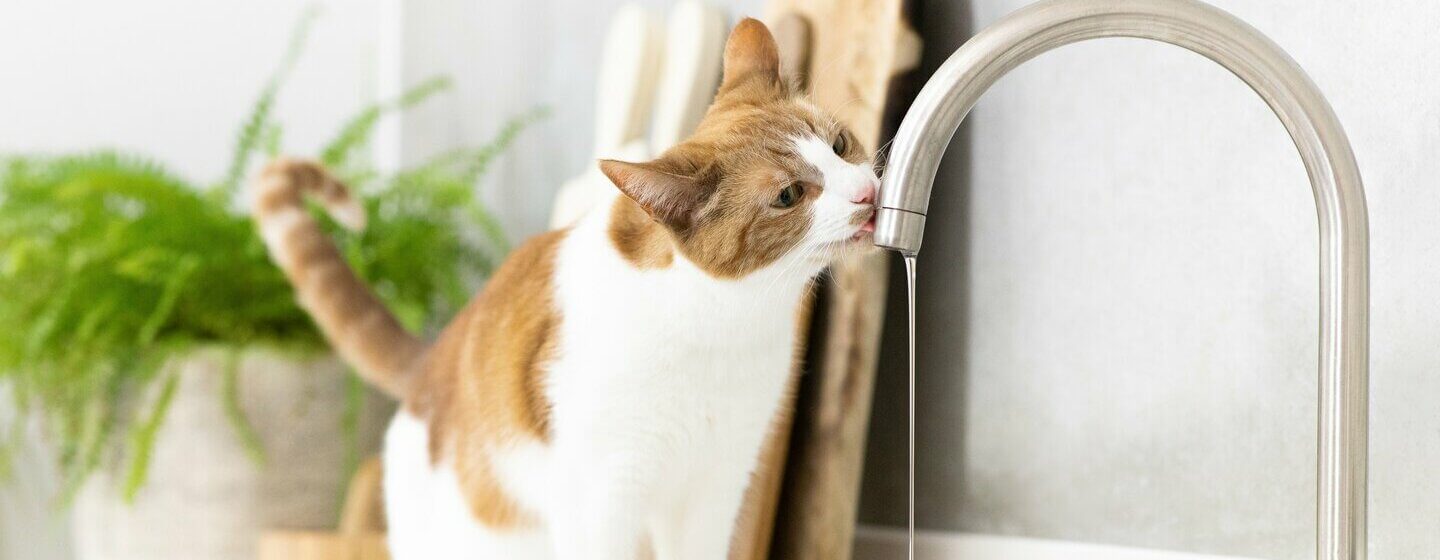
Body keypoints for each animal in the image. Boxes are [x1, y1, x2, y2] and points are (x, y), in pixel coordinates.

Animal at [250, 17, 875, 558]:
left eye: (841, 145)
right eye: (789, 196)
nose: (867, 194)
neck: (723, 321)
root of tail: (432, 359)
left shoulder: (715, 484)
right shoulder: (605, 494)